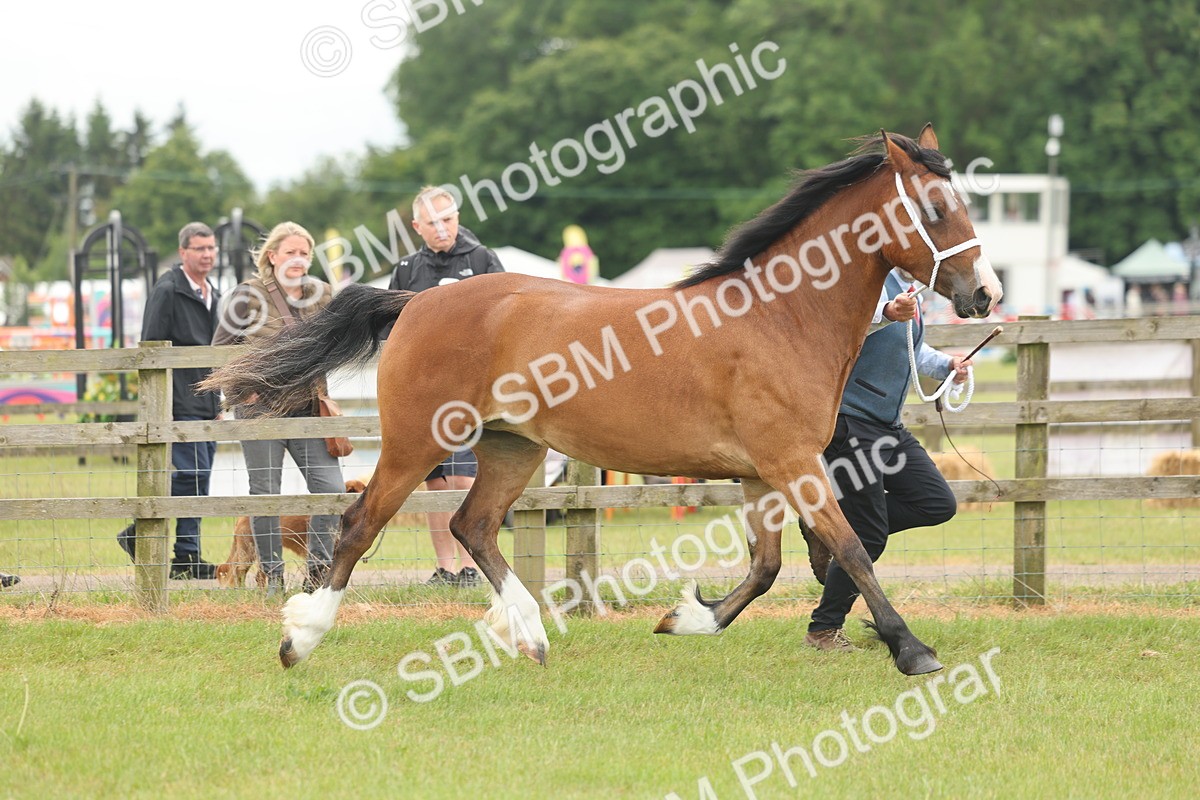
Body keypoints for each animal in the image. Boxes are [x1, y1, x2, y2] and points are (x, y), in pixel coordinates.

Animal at [199, 125, 1002, 676]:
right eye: (936, 207)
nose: (985, 294)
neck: (778, 317)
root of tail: (416, 301)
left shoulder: (760, 473)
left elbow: (769, 565)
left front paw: (686, 619)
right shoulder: (791, 464)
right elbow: (850, 550)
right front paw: (912, 649)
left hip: (511, 447)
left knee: (473, 526)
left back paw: (530, 635)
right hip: (416, 444)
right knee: (360, 525)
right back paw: (300, 638)